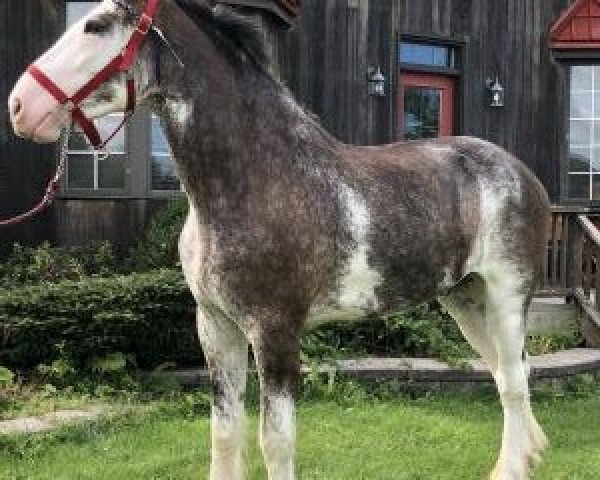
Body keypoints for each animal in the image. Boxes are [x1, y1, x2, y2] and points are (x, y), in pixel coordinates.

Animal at [8, 1, 552, 478]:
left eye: (96, 26)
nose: (19, 105)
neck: (256, 179)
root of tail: (523, 174)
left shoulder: (275, 333)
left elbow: (276, 441)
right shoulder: (216, 327)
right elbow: (224, 434)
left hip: (506, 296)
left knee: (514, 384)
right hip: (464, 299)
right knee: (506, 375)